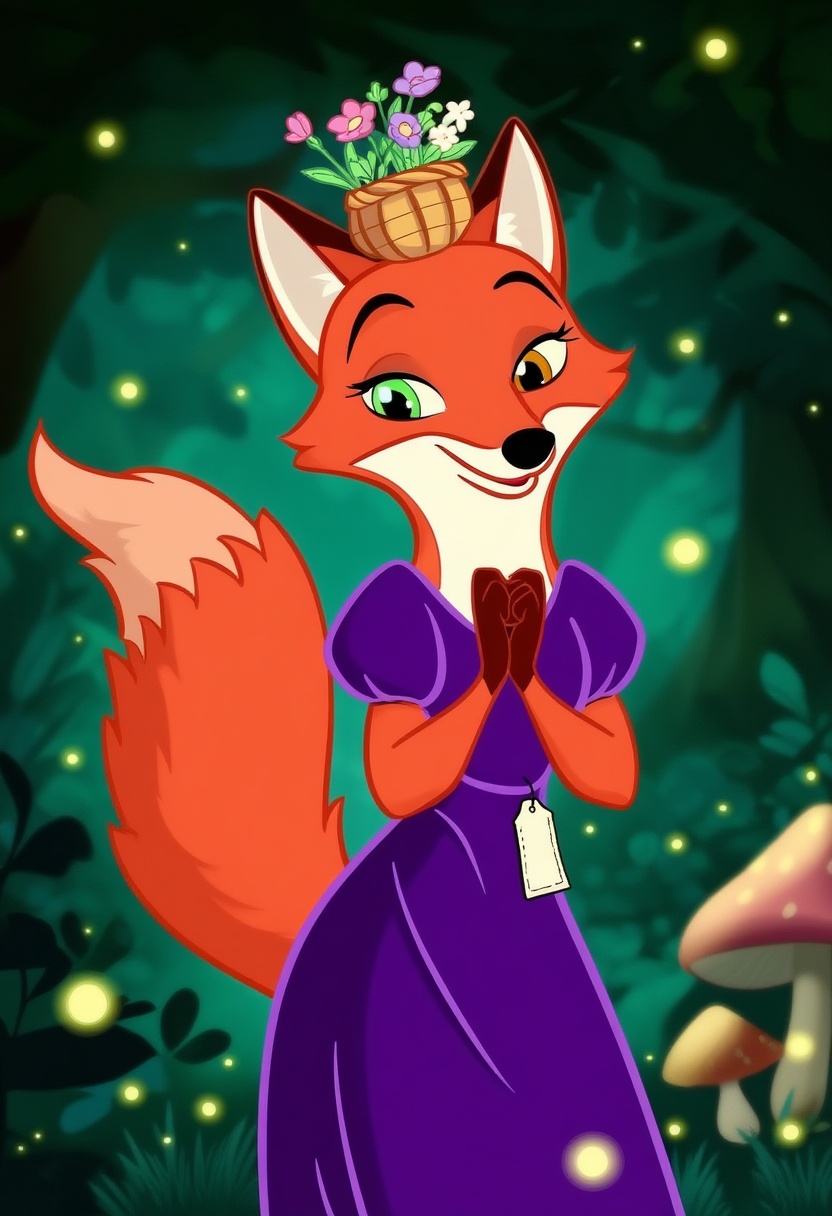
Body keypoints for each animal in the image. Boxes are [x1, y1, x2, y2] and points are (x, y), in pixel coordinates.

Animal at [30, 120, 684, 1214]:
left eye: (539, 362)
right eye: (396, 397)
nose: (524, 444)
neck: (493, 554)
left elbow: (610, 762)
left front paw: (522, 637)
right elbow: (402, 765)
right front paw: (502, 641)